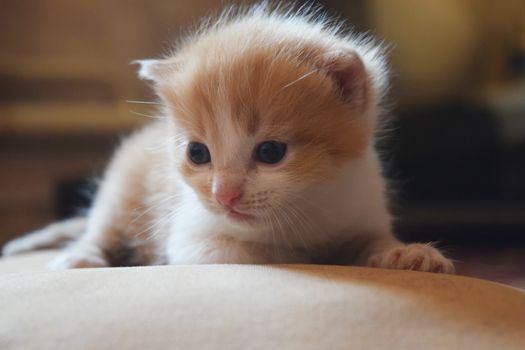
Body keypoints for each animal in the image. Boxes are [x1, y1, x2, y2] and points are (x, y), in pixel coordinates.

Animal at [2, 4, 454, 274]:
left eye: (271, 152)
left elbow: (368, 240)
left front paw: (404, 253)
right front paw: (304, 255)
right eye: (198, 153)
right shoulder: (191, 240)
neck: (303, 207)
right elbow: (251, 252)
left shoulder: (360, 203)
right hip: (121, 190)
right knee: (101, 228)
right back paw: (79, 256)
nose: (224, 195)